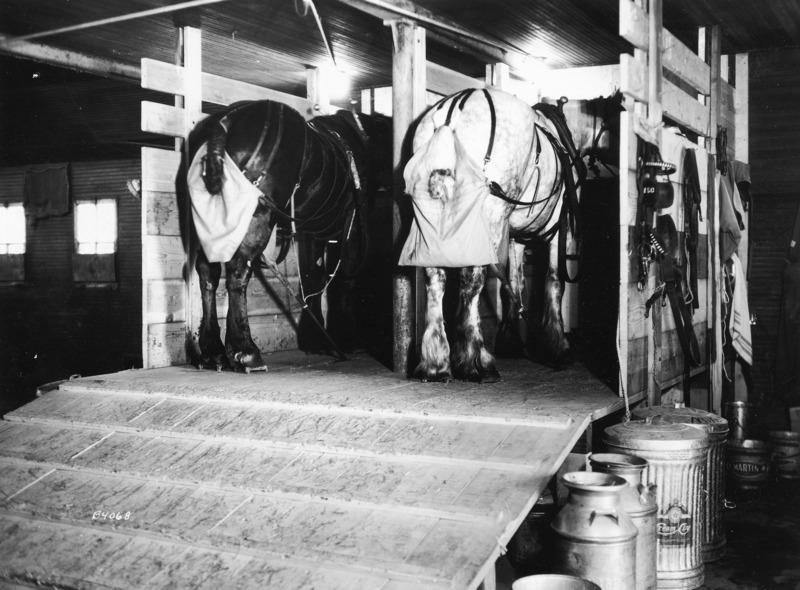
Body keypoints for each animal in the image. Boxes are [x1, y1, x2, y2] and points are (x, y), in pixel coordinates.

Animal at [185, 99, 390, 372]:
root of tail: (225, 121)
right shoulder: (351, 225)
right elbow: (345, 278)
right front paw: (347, 339)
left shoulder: (315, 231)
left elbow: (314, 275)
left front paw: (316, 339)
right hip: (256, 215)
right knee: (238, 271)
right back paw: (246, 351)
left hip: (211, 220)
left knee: (209, 273)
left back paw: (214, 352)